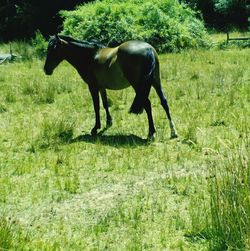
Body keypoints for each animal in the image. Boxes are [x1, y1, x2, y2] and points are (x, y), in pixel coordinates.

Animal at [43, 34, 178, 139]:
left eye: (53, 50)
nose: (46, 70)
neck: (90, 56)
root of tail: (148, 48)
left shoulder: (92, 87)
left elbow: (96, 106)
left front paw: (95, 128)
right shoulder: (102, 87)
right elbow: (105, 104)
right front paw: (108, 122)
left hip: (139, 85)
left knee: (147, 105)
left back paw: (151, 133)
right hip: (156, 82)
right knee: (164, 102)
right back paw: (173, 132)